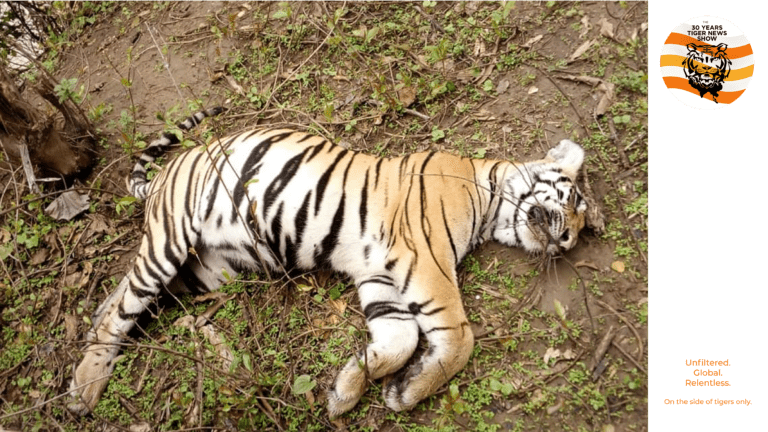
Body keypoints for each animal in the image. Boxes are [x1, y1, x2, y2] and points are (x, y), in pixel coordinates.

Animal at [68, 108, 588, 417]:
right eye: (572, 199)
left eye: (578, 226)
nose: (565, 239)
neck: (490, 202)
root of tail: (162, 176)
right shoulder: (426, 260)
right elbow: (460, 337)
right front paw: (405, 394)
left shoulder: (381, 275)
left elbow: (399, 341)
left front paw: (349, 392)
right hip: (173, 238)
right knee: (125, 308)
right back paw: (84, 388)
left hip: (211, 272)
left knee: (129, 296)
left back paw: (92, 330)